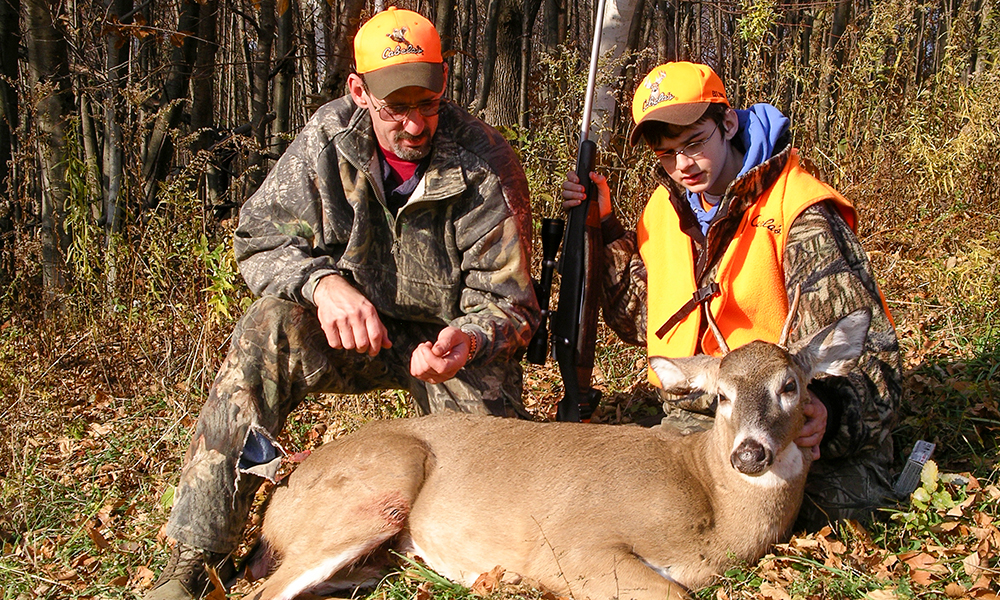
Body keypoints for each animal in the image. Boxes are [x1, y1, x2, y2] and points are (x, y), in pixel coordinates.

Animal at [246, 304, 872, 600]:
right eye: (720, 396)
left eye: (791, 387)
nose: (749, 454)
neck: (713, 509)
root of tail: (278, 502)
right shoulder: (574, 545)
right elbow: (675, 591)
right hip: (377, 487)